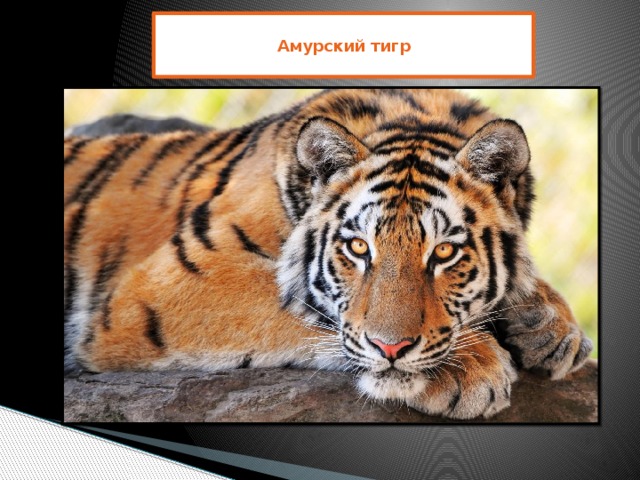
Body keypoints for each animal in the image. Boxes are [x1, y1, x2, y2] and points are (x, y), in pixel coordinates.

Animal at [64, 89, 593, 420]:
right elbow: (308, 311)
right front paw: (469, 367)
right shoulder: (166, 286)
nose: (391, 350)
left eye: (444, 252)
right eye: (359, 247)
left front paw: (549, 326)